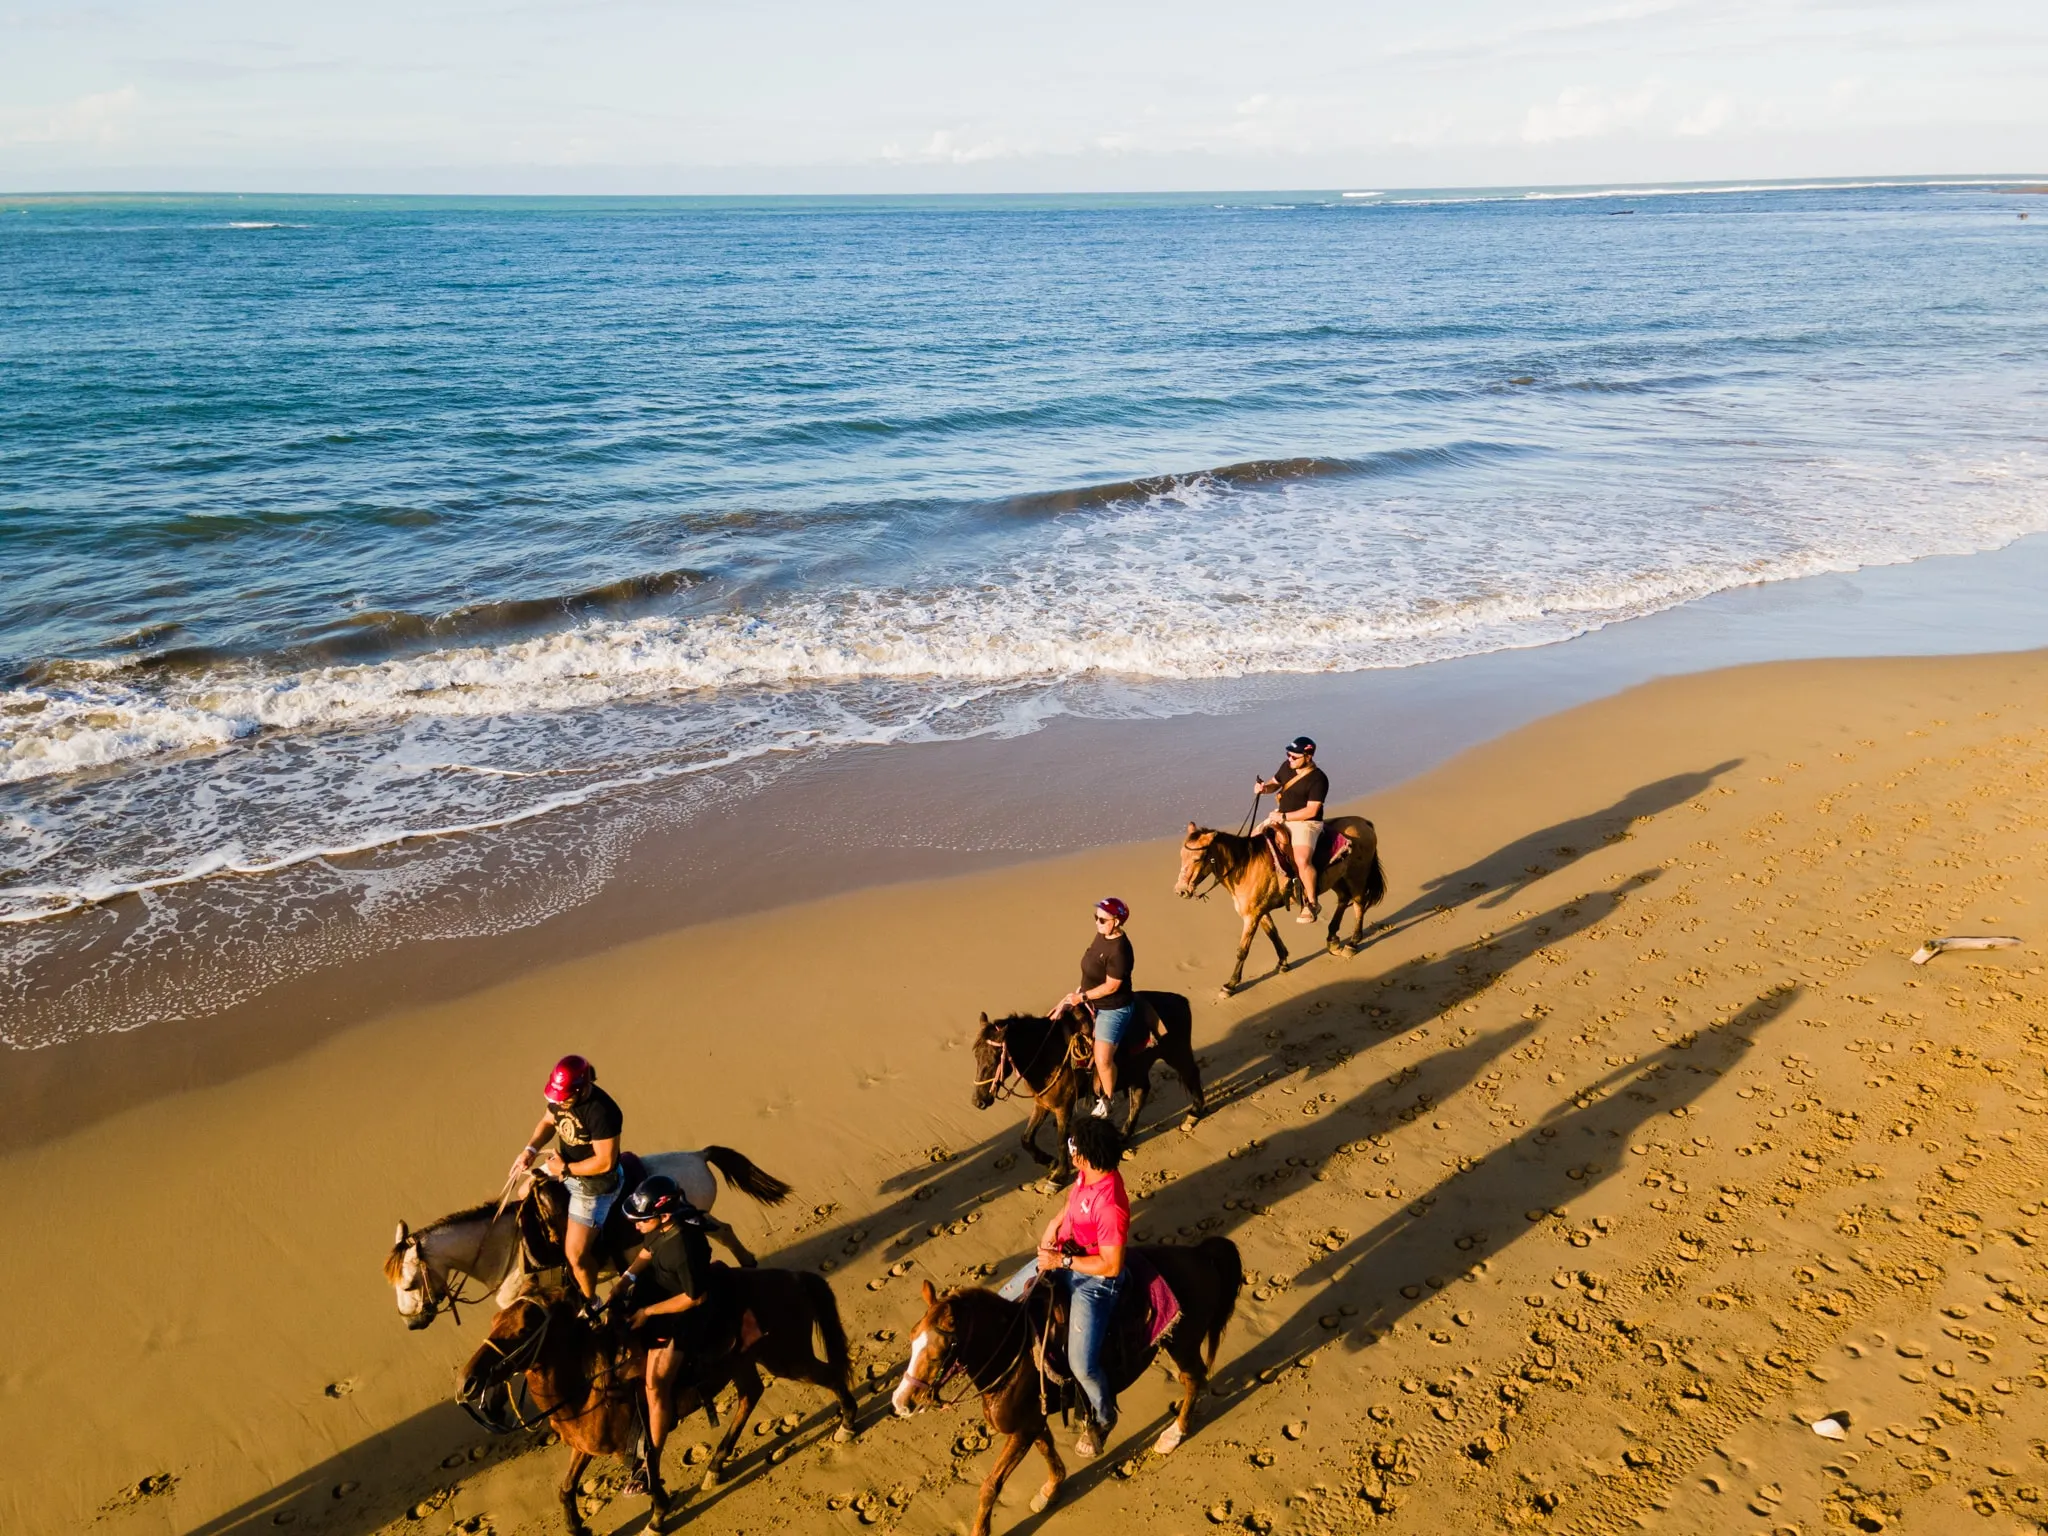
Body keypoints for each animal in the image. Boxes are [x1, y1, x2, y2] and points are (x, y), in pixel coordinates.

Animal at [386, 1145, 791, 1329]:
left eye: (408, 1284)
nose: (411, 1323)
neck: (511, 1245)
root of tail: (697, 1154)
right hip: (696, 1216)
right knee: (724, 1231)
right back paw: (748, 1263)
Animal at [458, 1268, 858, 1533]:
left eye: (525, 1327)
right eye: (495, 1320)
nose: (468, 1381)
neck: (587, 1383)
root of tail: (792, 1277)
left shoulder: (635, 1436)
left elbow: (648, 1471)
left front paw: (658, 1516)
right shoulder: (584, 1445)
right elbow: (566, 1488)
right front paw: (576, 1526)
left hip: (787, 1357)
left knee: (830, 1377)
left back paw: (847, 1424)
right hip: (747, 1361)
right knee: (751, 1394)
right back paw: (716, 1465)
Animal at [891, 1238, 1244, 1536]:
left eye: (938, 1351)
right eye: (912, 1338)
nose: (901, 1401)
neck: (1013, 1351)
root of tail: (1201, 1254)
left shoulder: (1022, 1428)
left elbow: (990, 1485)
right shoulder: (1034, 1422)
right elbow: (1048, 1452)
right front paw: (1049, 1491)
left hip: (1182, 1342)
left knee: (1193, 1378)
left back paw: (1172, 1435)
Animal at [971, 993, 1205, 1183]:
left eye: (995, 1058)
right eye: (976, 1055)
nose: (978, 1101)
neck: (1047, 1052)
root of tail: (1180, 1000)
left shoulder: (1063, 1106)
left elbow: (1061, 1140)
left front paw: (1059, 1176)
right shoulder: (1043, 1102)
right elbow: (1026, 1139)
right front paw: (1049, 1161)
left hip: (1177, 1052)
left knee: (1191, 1075)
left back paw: (1194, 1114)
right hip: (1138, 1068)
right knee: (1140, 1094)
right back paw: (1123, 1135)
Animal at [1174, 816, 1386, 993]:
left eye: (1197, 858)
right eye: (1181, 856)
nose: (1181, 890)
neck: (1245, 865)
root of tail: (1363, 822)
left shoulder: (1251, 916)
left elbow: (1242, 950)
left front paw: (1231, 984)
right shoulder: (1260, 913)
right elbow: (1273, 934)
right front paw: (1283, 962)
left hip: (1357, 876)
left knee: (1358, 903)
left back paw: (1352, 943)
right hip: (1338, 878)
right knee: (1343, 899)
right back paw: (1332, 938)